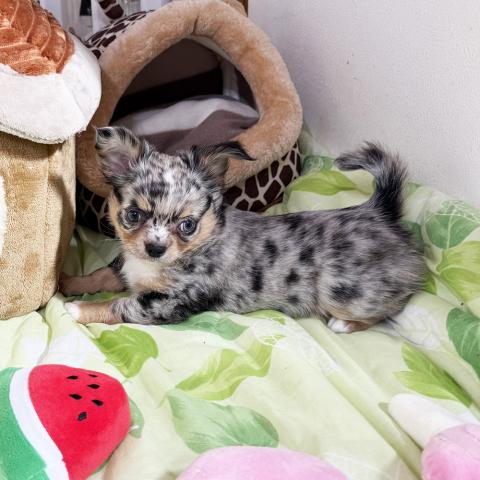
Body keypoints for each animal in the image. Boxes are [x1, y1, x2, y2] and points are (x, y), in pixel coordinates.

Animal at [60, 127, 425, 333]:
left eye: (188, 225)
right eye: (133, 214)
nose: (155, 248)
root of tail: (380, 210)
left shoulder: (169, 302)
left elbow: (120, 305)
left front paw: (79, 309)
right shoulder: (127, 266)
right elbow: (102, 274)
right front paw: (69, 282)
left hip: (342, 291)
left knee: (388, 309)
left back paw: (344, 323)